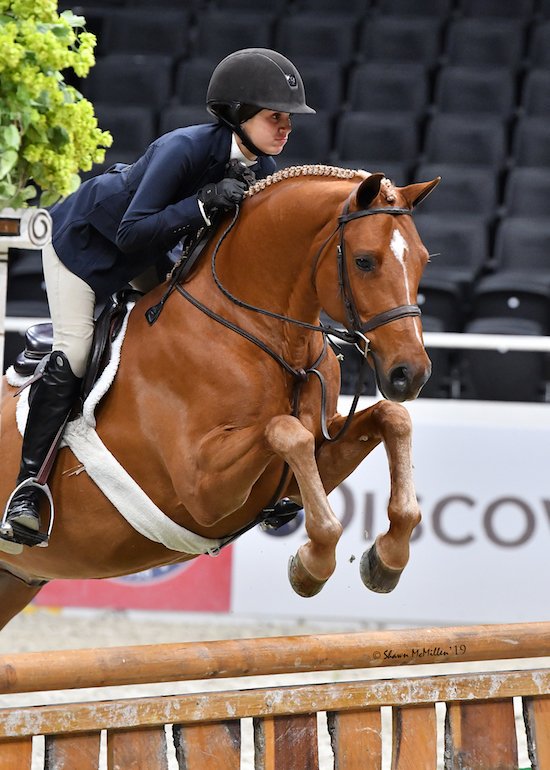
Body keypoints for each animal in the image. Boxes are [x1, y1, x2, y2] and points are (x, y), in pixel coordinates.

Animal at [0, 166, 439, 631]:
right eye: (364, 261)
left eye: (422, 260)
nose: (411, 373)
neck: (261, 333)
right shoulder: (201, 488)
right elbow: (286, 431)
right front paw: (311, 565)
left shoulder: (312, 459)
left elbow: (392, 418)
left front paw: (387, 556)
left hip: (15, 580)